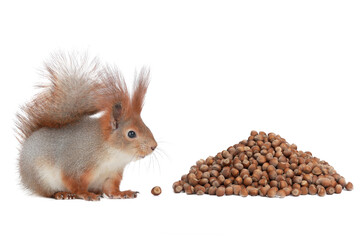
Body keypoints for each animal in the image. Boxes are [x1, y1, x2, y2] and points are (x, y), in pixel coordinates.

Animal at [15, 53, 156, 201]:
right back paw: (62, 193)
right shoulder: (76, 165)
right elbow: (75, 184)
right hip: (40, 177)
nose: (154, 146)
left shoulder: (112, 174)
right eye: (131, 134)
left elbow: (111, 189)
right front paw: (86, 194)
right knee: (47, 193)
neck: (113, 153)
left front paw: (122, 193)